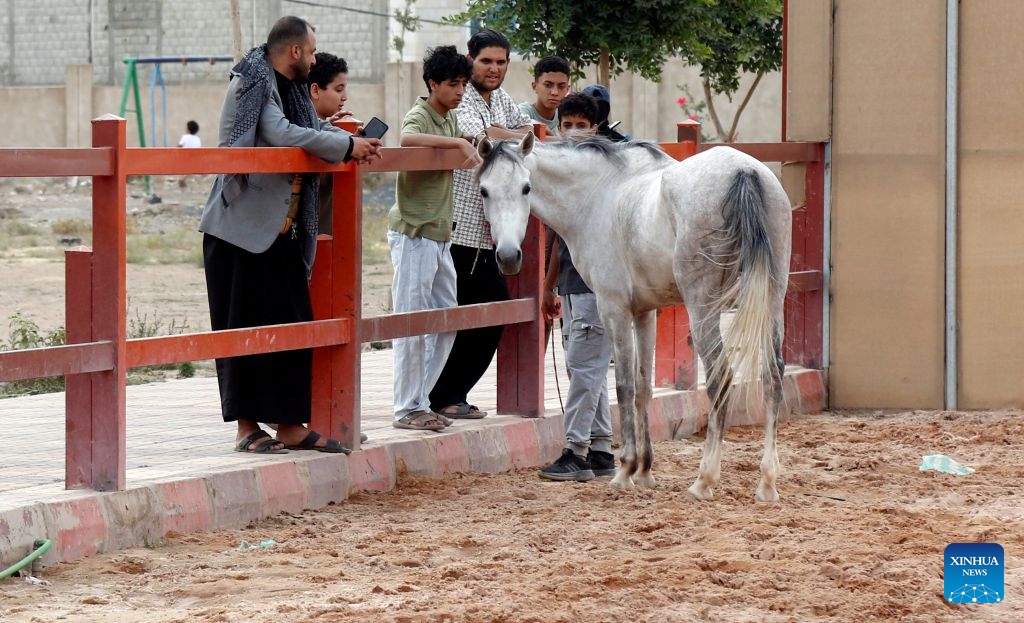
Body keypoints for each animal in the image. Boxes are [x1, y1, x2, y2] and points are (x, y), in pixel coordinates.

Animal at [475, 132, 792, 502]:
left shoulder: (614, 310)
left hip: (704, 308)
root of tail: (743, 171)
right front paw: (644, 471)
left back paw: (704, 480)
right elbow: (643, 388)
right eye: (484, 190)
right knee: (772, 376)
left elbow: (623, 387)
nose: (509, 256)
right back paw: (767, 483)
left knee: (720, 378)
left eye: (526, 187)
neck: (598, 195)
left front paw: (624, 470)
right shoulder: (645, 312)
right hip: (771, 298)